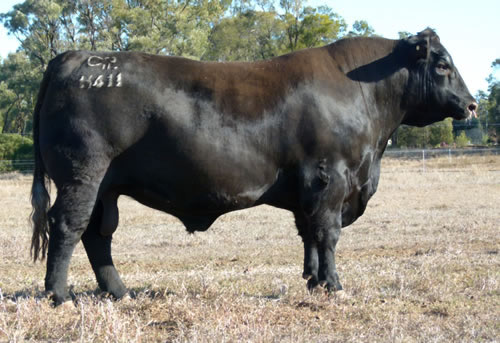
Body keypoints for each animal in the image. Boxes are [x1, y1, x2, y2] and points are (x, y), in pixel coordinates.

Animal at [29, 28, 474, 304]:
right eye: (442, 64)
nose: (471, 104)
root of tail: (75, 56)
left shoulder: (306, 186)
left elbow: (308, 234)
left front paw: (312, 281)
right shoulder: (330, 178)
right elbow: (327, 233)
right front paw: (333, 285)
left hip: (105, 187)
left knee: (97, 235)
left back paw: (119, 292)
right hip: (83, 175)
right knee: (68, 226)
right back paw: (59, 295)